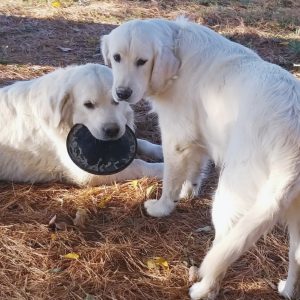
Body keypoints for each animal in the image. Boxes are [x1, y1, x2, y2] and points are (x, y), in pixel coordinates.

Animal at [0, 63, 163, 185]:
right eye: (88, 105)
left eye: (116, 100)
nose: (112, 131)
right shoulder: (87, 173)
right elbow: (140, 164)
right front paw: (163, 168)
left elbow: (141, 142)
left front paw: (160, 150)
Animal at [102, 18, 300, 300]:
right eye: (117, 57)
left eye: (142, 61)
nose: (122, 93)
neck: (179, 50)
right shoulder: (199, 139)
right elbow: (194, 170)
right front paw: (189, 191)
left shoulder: (175, 138)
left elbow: (171, 179)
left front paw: (162, 207)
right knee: (296, 257)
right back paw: (287, 289)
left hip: (229, 199)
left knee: (223, 254)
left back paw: (203, 288)